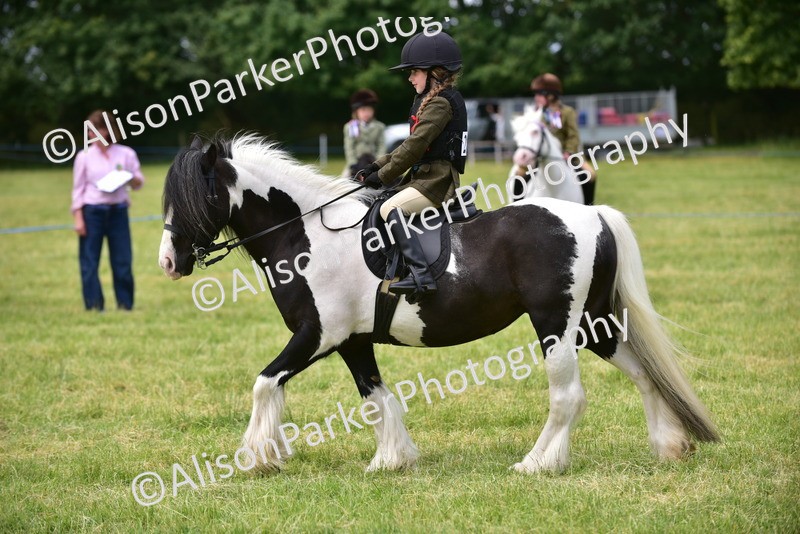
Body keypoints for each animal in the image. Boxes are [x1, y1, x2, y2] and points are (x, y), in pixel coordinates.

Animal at [158, 134, 719, 474]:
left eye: (194, 198)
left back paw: (537, 463)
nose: (168, 261)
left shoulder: (318, 335)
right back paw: (670, 447)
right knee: (645, 375)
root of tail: (594, 214)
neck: (307, 234)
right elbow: (377, 398)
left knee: (568, 396)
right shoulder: (353, 341)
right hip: (595, 322)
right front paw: (393, 460)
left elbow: (264, 382)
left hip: (555, 324)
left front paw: (258, 458)